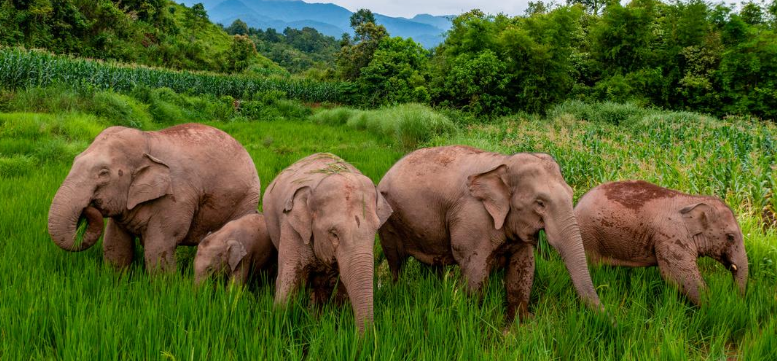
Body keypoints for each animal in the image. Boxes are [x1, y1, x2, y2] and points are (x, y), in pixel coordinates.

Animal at [47, 122, 260, 272]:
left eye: (103, 173)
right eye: (75, 160)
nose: (87, 208)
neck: (147, 140)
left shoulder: (175, 198)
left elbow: (158, 248)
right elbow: (115, 244)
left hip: (246, 199)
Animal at [262, 152, 394, 332]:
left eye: (375, 231)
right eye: (334, 234)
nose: (364, 338)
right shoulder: (292, 229)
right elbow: (288, 284)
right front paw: (278, 326)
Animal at [378, 145, 604, 324]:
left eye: (571, 194)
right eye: (540, 203)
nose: (607, 317)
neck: (503, 164)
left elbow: (523, 267)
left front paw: (520, 325)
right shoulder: (472, 218)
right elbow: (475, 271)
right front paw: (472, 320)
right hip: (388, 223)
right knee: (396, 261)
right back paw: (397, 290)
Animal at [576, 180, 744, 304]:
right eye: (730, 237)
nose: (736, 297)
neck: (694, 200)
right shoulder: (671, 236)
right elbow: (677, 276)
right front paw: (713, 306)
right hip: (588, 235)